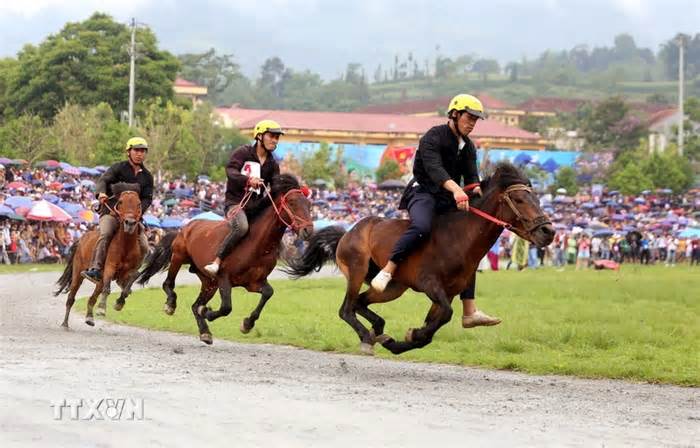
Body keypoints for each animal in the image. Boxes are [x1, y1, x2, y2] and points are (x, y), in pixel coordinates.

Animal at [55, 184, 147, 328]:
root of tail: (81, 239)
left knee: (92, 298)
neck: (126, 245)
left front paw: (119, 303)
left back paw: (89, 318)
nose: (130, 223)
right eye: (121, 202)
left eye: (138, 203)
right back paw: (65, 323)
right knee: (71, 297)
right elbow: (108, 288)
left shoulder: (130, 271)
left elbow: (131, 280)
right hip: (77, 274)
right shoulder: (109, 266)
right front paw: (102, 308)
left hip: (99, 281)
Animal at [137, 173, 312, 344]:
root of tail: (184, 228)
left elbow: (268, 293)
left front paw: (247, 324)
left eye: (309, 205)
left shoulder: (253, 282)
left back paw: (205, 333)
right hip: (179, 257)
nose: (308, 231)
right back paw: (171, 305)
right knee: (169, 283)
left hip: (209, 282)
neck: (257, 244)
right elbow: (226, 307)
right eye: (292, 202)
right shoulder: (224, 278)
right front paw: (208, 312)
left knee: (194, 305)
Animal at [288, 163, 556, 356]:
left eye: (537, 198)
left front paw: (402, 340)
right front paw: (409, 336)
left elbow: (434, 325)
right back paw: (367, 338)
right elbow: (444, 316)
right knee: (346, 308)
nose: (549, 231)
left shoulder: (447, 292)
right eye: (519, 199)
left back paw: (379, 329)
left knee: (360, 303)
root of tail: (348, 232)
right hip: (357, 269)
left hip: (393, 287)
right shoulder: (430, 284)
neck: (459, 236)